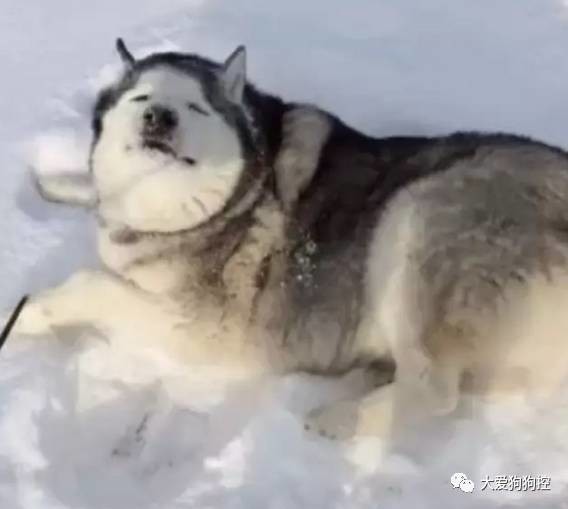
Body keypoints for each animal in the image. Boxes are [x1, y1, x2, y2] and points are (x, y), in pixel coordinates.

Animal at [7, 38, 568, 441]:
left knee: (434, 389)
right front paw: (54, 182)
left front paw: (24, 316)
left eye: (194, 106)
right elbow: (91, 195)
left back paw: (343, 419)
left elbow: (88, 282)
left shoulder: (203, 328)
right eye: (142, 98)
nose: (159, 118)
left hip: (415, 214)